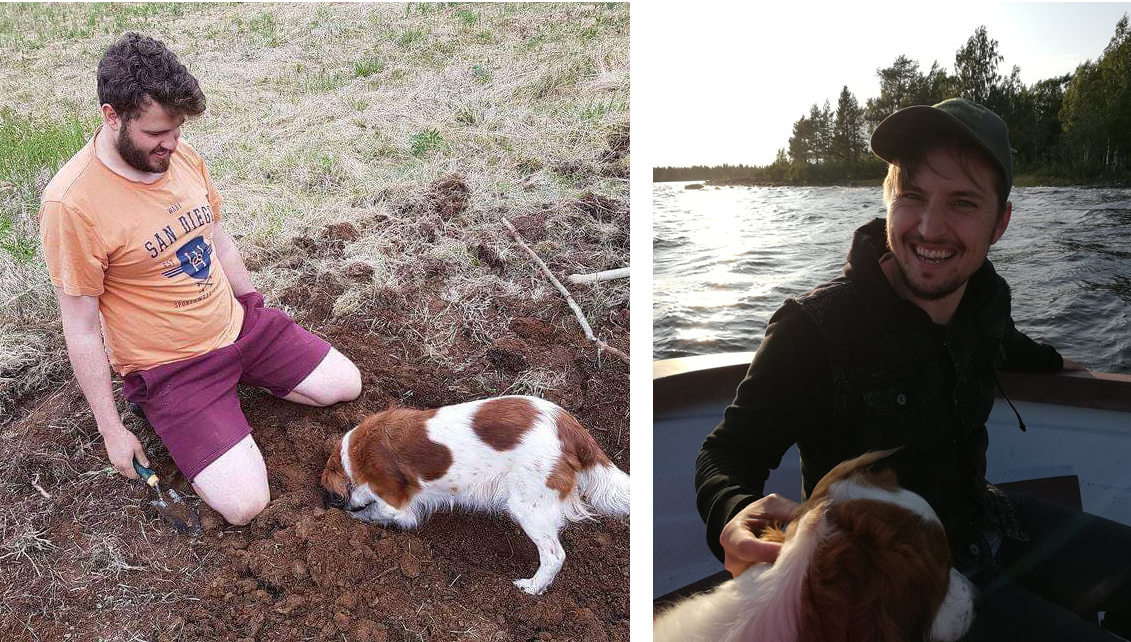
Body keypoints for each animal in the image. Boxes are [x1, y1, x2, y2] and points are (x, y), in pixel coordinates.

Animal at [323, 395, 633, 596]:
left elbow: (373, 512)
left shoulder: (394, 502)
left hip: (528, 507)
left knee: (554, 555)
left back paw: (532, 588)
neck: (354, 455)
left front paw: (350, 517)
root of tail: (568, 427)